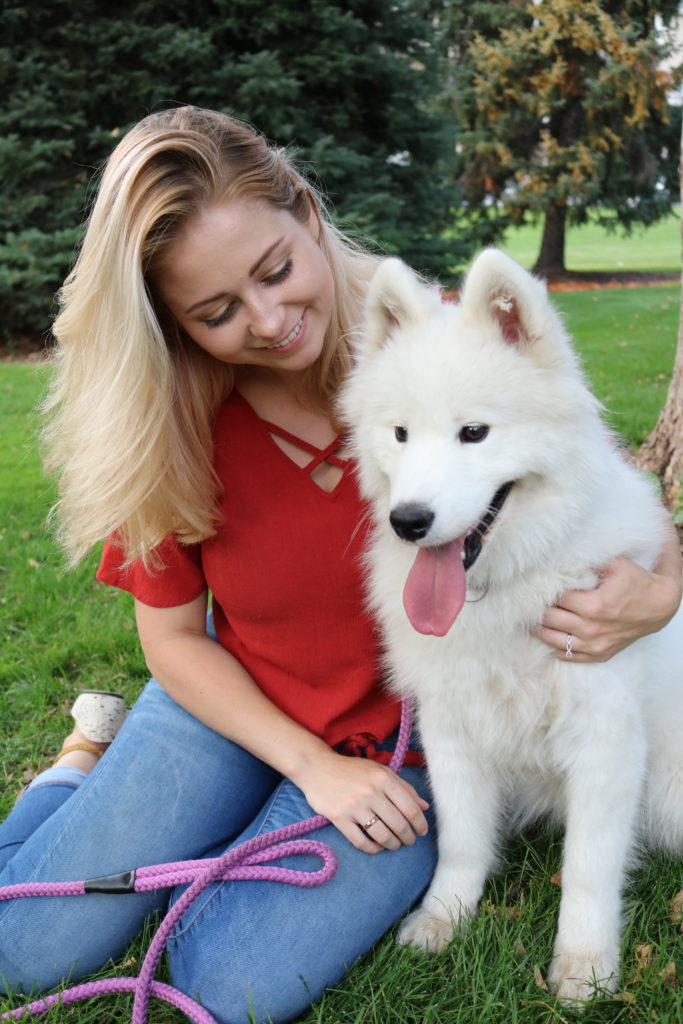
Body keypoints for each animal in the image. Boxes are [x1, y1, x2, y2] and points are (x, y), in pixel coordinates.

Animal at [342, 251, 683, 1003]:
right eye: (399, 434)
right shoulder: (450, 729)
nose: (407, 521)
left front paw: (584, 968)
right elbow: (462, 842)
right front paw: (444, 920)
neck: (509, 588)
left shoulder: (605, 742)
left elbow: (587, 868)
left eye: (474, 433)